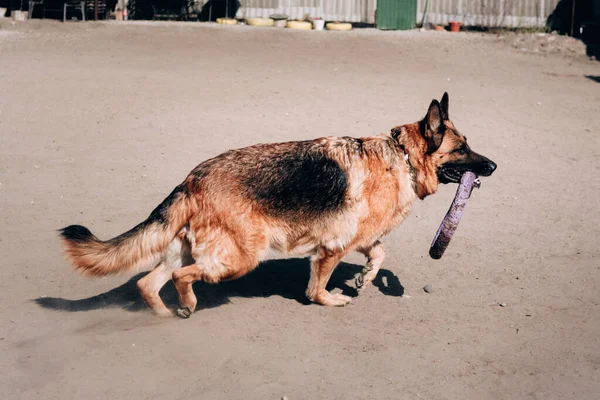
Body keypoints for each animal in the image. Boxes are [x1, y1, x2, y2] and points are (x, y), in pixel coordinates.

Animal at [59, 92, 496, 318]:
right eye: (462, 149)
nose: (493, 166)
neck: (401, 156)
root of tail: (193, 178)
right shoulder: (333, 247)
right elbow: (318, 286)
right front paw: (330, 299)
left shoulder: (360, 237)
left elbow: (379, 253)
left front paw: (364, 278)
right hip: (241, 257)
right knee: (183, 278)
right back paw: (188, 303)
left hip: (185, 250)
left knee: (147, 283)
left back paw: (166, 316)